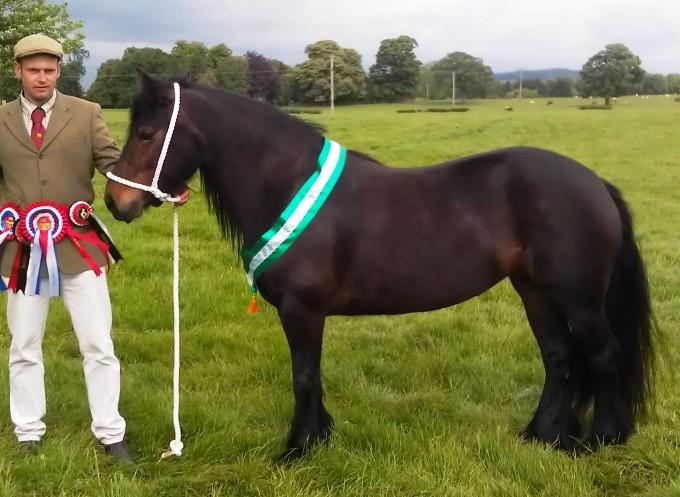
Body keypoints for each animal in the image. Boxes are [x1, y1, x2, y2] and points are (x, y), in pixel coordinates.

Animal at [104, 72, 656, 459]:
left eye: (148, 133)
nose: (115, 202)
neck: (289, 183)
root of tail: (594, 182)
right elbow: (312, 375)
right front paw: (319, 436)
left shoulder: (302, 311)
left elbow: (304, 376)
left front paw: (298, 448)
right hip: (535, 292)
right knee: (559, 359)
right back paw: (542, 436)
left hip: (579, 299)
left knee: (603, 356)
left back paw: (603, 438)